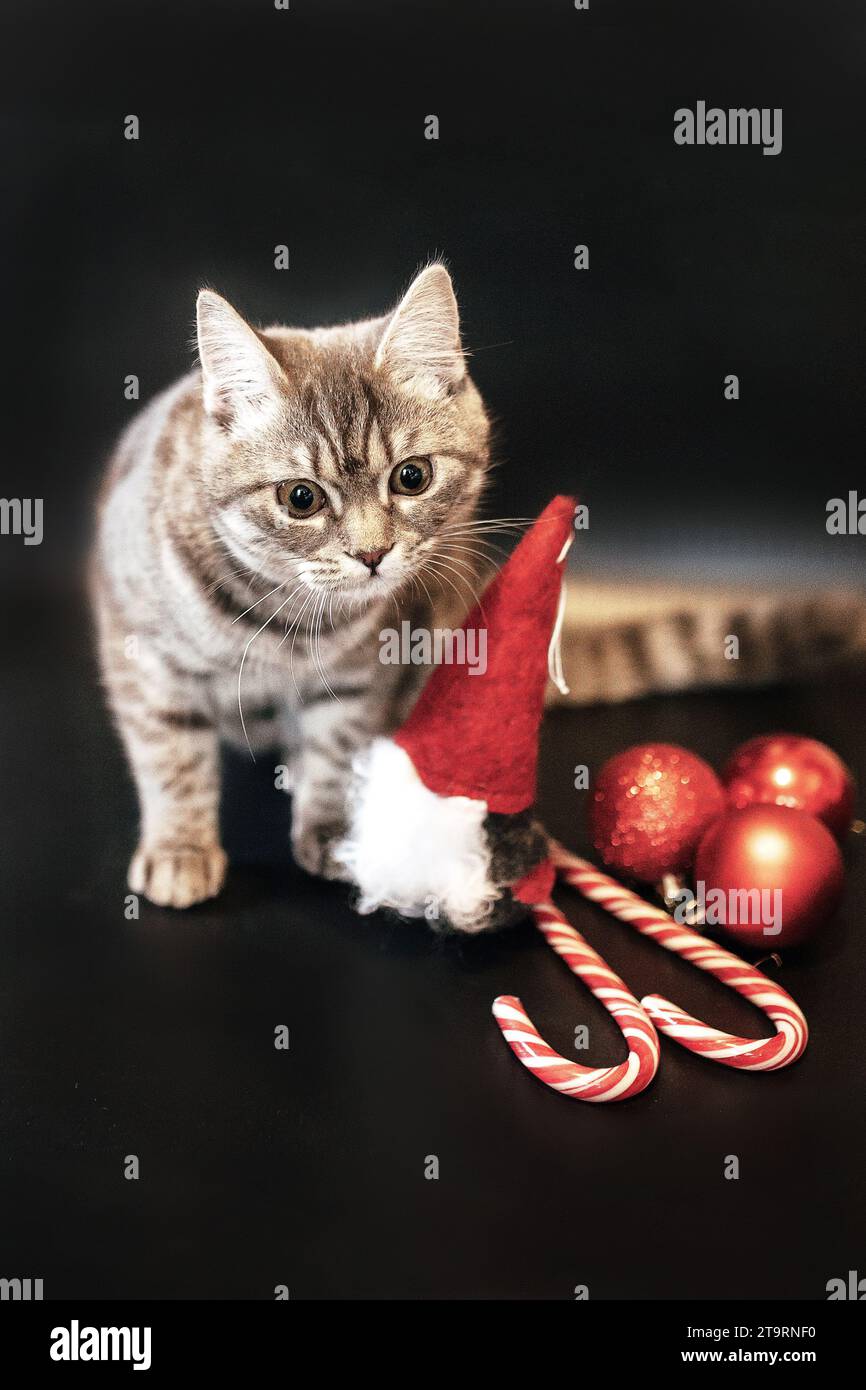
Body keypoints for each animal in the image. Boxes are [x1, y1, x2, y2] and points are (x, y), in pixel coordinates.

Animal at [93, 264, 494, 906]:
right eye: (300, 497)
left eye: (413, 476)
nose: (371, 552)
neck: (288, 614)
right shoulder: (142, 654)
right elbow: (170, 751)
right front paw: (181, 848)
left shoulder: (363, 670)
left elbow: (338, 742)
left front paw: (332, 829)